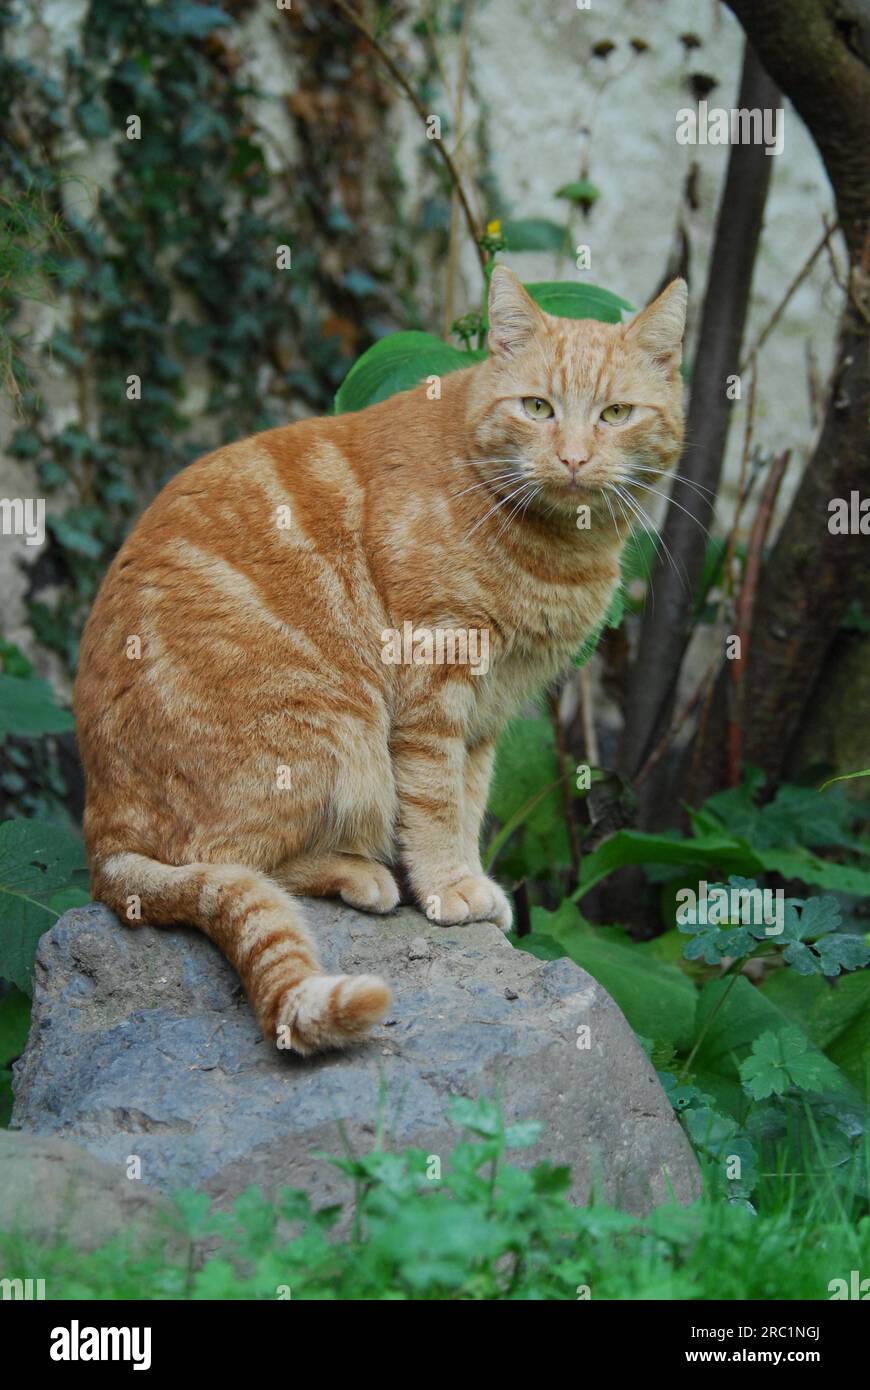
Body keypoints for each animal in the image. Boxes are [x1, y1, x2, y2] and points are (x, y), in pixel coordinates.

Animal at [72, 268, 683, 1050]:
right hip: (333, 727)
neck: (553, 547)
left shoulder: (487, 711)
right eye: (538, 407)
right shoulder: (434, 680)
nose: (574, 458)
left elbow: (468, 801)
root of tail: (102, 835)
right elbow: (434, 802)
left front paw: (466, 878)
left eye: (615, 413)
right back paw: (359, 872)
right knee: (229, 859)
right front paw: (447, 886)